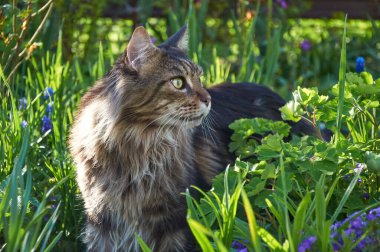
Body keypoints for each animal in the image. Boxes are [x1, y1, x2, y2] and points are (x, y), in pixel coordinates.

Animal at [69, 24, 314, 251]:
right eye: (178, 82)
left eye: (199, 78)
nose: (208, 99)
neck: (137, 149)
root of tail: (288, 106)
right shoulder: (102, 222)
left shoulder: (176, 223)